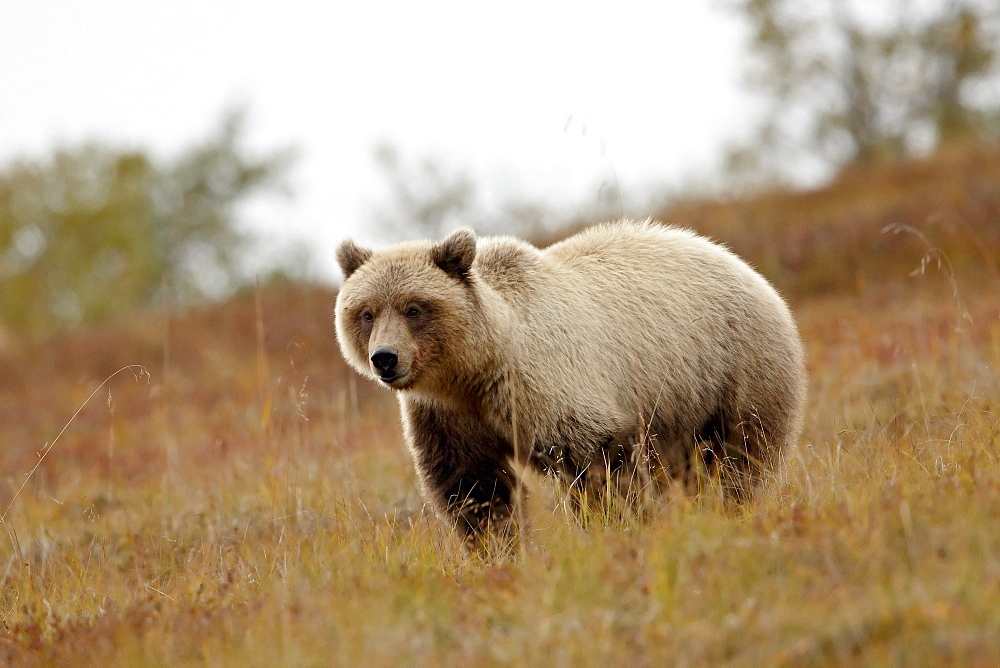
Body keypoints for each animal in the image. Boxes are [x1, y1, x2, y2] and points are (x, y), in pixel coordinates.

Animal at [334, 222, 804, 540]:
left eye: (414, 308)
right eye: (366, 311)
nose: (385, 358)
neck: (471, 370)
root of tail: (747, 268)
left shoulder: (543, 381)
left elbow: (598, 459)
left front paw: (614, 525)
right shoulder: (446, 415)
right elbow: (474, 487)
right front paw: (499, 547)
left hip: (731, 368)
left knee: (741, 455)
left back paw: (731, 510)